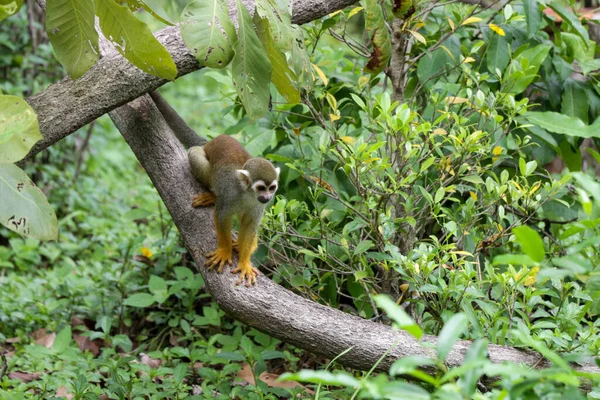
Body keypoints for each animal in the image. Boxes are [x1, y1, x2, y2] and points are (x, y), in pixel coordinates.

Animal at [151, 90, 280, 286]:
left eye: (271, 188)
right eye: (260, 188)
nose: (267, 198)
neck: (247, 194)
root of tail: (211, 142)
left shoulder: (258, 206)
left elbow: (250, 225)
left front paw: (245, 262)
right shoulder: (230, 193)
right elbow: (221, 215)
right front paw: (225, 251)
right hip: (201, 154)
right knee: (196, 157)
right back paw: (213, 195)